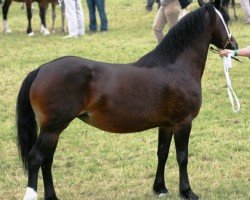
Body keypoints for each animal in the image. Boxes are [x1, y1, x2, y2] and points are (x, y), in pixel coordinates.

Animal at [16, 0, 237, 199]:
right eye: (225, 18)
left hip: (52, 131)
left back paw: (52, 196)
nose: (233, 45)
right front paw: (187, 192)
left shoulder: (166, 125)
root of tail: (41, 69)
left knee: (47, 161)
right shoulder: (183, 123)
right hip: (52, 129)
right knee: (36, 158)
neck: (176, 67)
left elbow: (162, 153)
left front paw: (160, 188)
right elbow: (182, 157)